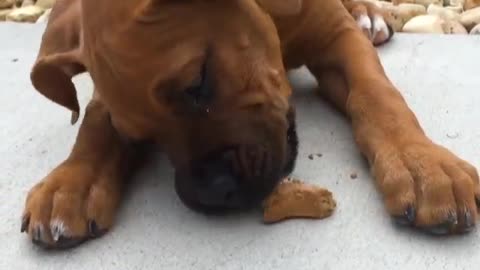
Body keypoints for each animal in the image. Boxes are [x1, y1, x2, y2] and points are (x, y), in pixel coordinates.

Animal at [20, 0, 478, 249]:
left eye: (197, 82)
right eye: (141, 135)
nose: (210, 195)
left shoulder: (339, 41)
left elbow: (378, 96)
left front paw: (422, 164)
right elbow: (95, 123)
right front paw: (71, 183)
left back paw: (368, 12)